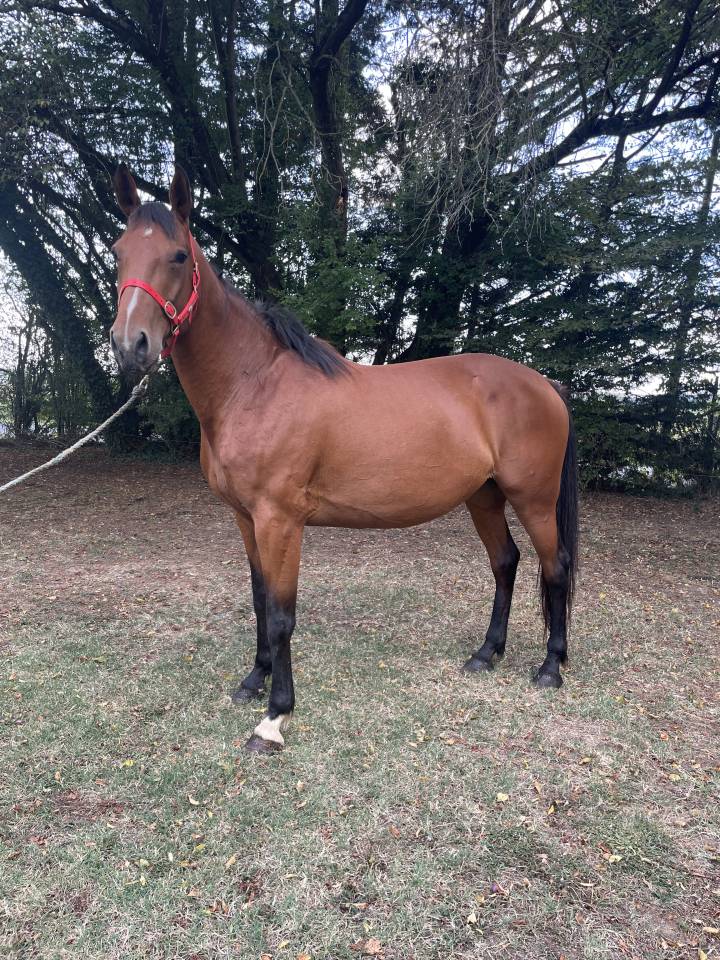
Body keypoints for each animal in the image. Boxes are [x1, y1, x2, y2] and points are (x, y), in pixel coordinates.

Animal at [109, 165, 579, 753]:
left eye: (177, 255)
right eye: (119, 251)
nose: (130, 345)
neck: (253, 384)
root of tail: (545, 384)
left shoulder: (280, 521)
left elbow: (282, 614)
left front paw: (274, 717)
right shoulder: (245, 518)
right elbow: (259, 599)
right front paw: (254, 680)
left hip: (532, 499)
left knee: (554, 566)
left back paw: (550, 668)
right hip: (484, 497)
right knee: (506, 563)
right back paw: (485, 655)